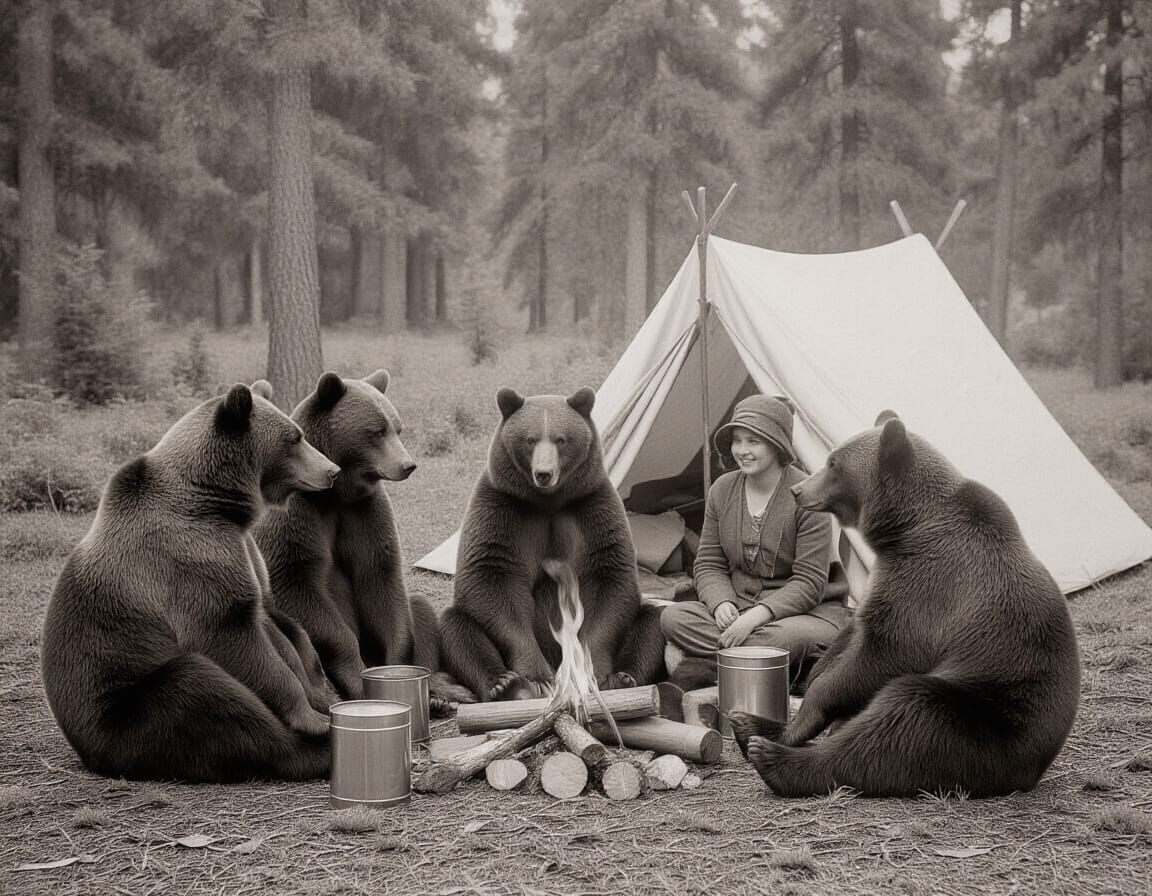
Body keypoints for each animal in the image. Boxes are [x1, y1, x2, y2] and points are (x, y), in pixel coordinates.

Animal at [41, 381, 340, 782]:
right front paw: (310, 716)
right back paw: (314, 749)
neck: (216, 503)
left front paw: (319, 693)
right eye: (295, 438)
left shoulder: (243, 551)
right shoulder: (191, 559)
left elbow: (276, 626)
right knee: (203, 695)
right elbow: (228, 633)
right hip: (125, 706)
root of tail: (87, 753)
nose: (332, 470)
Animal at [254, 369, 468, 709]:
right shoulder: (297, 513)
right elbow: (297, 582)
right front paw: (357, 681)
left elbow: (380, 575)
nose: (407, 465)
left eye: (397, 428)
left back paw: (442, 693)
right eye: (376, 431)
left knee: (419, 606)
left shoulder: (365, 510)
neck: (336, 492)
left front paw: (398, 668)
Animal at [439, 386, 667, 701]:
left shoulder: (592, 506)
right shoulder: (502, 506)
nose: (544, 473)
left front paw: (592, 671)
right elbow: (490, 577)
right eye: (530, 439)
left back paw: (624, 678)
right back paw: (504, 684)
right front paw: (537, 677)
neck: (548, 501)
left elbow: (609, 576)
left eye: (560, 439)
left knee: (651, 619)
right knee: (457, 628)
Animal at [730, 411, 1081, 798]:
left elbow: (888, 649)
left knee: (900, 723)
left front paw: (806, 715)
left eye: (833, 463)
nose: (798, 490)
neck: (905, 527)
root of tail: (1036, 767)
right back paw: (750, 724)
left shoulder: (927, 580)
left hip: (985, 712)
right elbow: (847, 640)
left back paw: (770, 753)